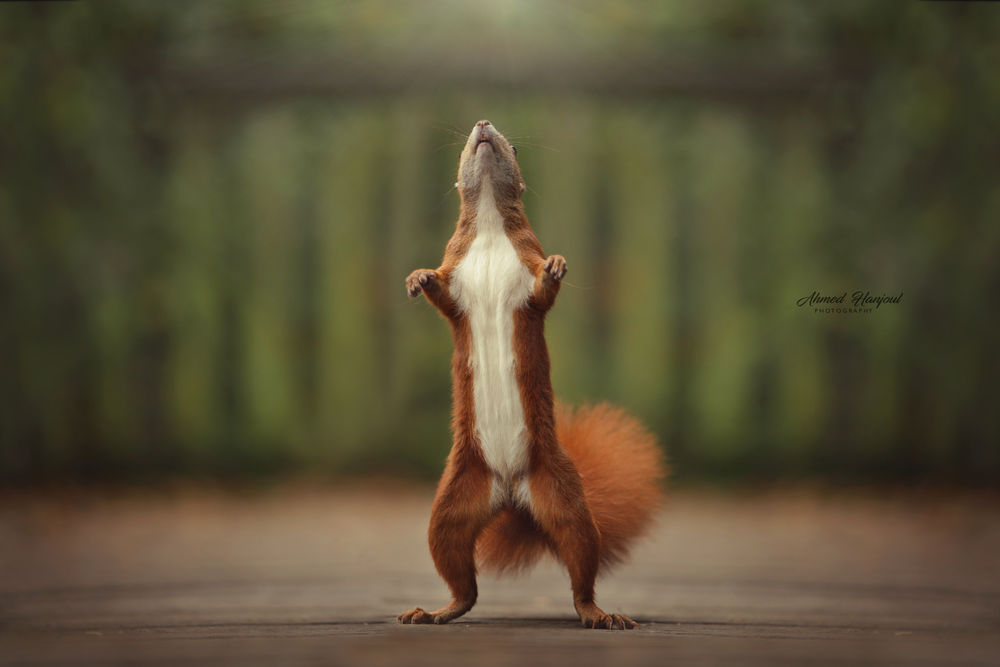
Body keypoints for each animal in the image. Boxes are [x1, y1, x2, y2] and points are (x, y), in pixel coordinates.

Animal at [399, 120, 665, 630]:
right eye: (467, 144)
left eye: (514, 147)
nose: (483, 125)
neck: (487, 226)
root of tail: (508, 492)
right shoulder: (454, 270)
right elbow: (442, 294)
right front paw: (418, 277)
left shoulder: (529, 262)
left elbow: (543, 290)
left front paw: (558, 267)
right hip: (451, 506)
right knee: (461, 578)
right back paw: (436, 611)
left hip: (565, 500)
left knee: (580, 567)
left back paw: (599, 613)